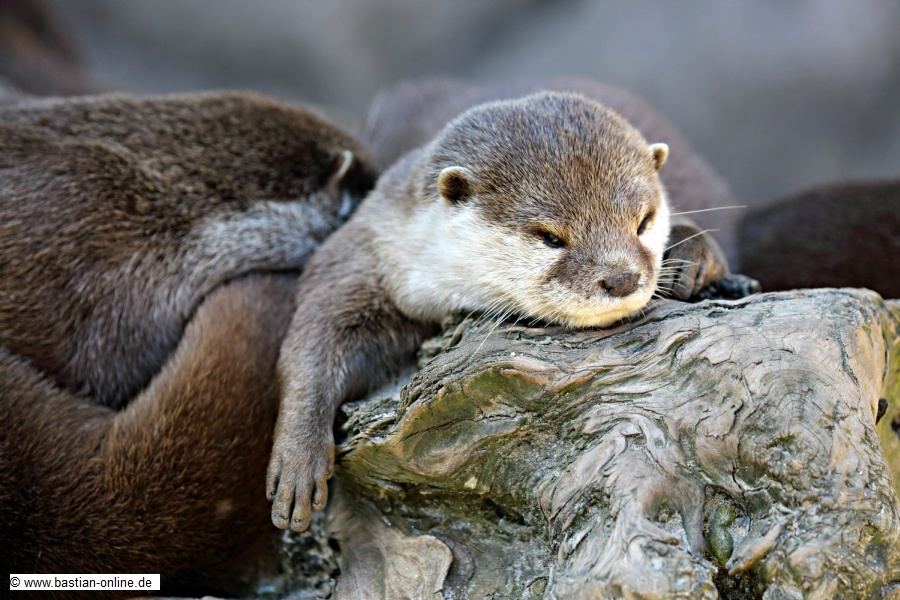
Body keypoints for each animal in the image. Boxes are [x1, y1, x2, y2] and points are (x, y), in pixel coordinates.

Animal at [268, 91, 753, 532]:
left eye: (644, 222)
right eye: (550, 237)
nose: (621, 279)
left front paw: (693, 254)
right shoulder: (363, 255)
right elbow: (313, 343)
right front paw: (297, 460)